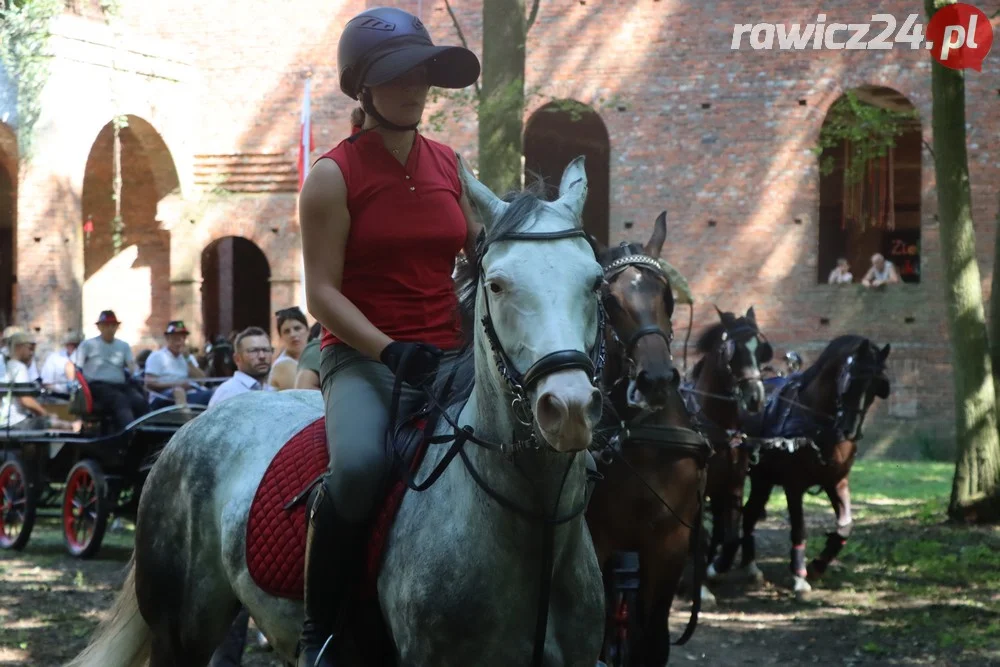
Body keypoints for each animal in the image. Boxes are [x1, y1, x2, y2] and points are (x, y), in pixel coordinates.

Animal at [68, 158, 608, 667]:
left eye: (597, 282)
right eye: (496, 285)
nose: (568, 407)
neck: (533, 522)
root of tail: (189, 429)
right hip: (178, 633)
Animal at [584, 215, 712, 667]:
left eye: (667, 296)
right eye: (607, 300)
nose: (655, 379)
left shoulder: (670, 543)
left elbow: (651, 641)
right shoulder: (598, 539)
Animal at [688, 308, 772, 604]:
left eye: (761, 349)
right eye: (732, 352)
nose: (756, 397)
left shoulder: (734, 486)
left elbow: (732, 536)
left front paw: (715, 568)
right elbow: (700, 535)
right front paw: (701, 587)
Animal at [736, 336, 892, 596]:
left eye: (876, 387)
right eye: (851, 380)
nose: (850, 431)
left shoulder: (837, 481)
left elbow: (845, 526)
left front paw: (818, 566)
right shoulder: (794, 485)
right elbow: (799, 528)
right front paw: (799, 576)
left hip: (762, 479)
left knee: (749, 513)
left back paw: (750, 568)